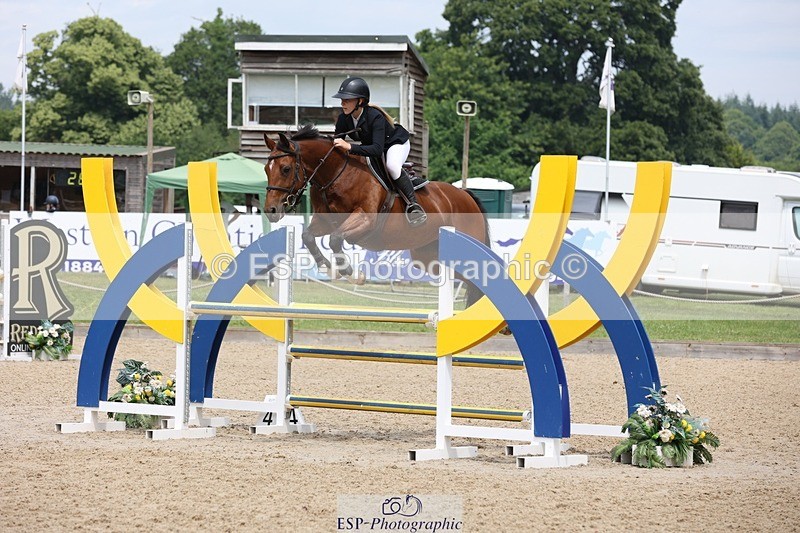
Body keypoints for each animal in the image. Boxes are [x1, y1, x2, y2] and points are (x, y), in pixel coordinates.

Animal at [262, 125, 490, 306]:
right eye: (266, 169)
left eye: (285, 168)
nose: (271, 211)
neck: (337, 173)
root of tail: (466, 195)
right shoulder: (325, 221)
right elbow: (308, 236)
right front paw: (329, 268)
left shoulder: (365, 219)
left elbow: (335, 239)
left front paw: (351, 273)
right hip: (427, 256)